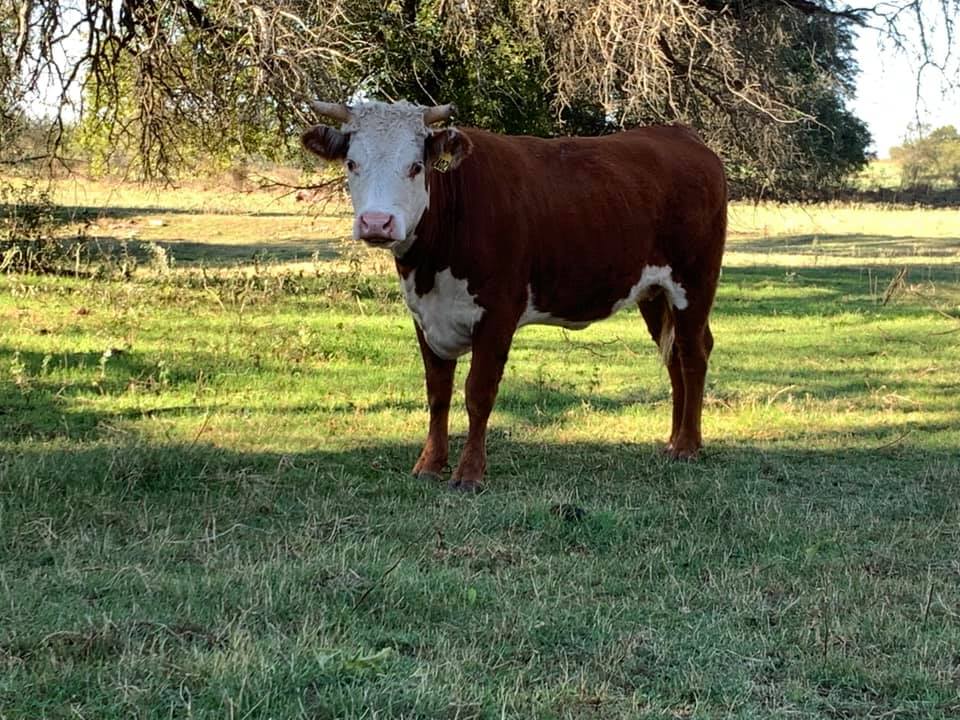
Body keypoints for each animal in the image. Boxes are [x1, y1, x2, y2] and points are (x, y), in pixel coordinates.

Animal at [302, 100, 726, 492]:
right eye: (352, 163)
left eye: (415, 166)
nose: (377, 223)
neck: (431, 263)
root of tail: (682, 136)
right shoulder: (425, 316)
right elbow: (437, 392)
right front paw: (430, 464)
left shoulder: (497, 313)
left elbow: (478, 392)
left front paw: (469, 473)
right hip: (654, 293)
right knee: (673, 356)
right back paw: (673, 441)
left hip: (694, 281)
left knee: (693, 353)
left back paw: (688, 445)